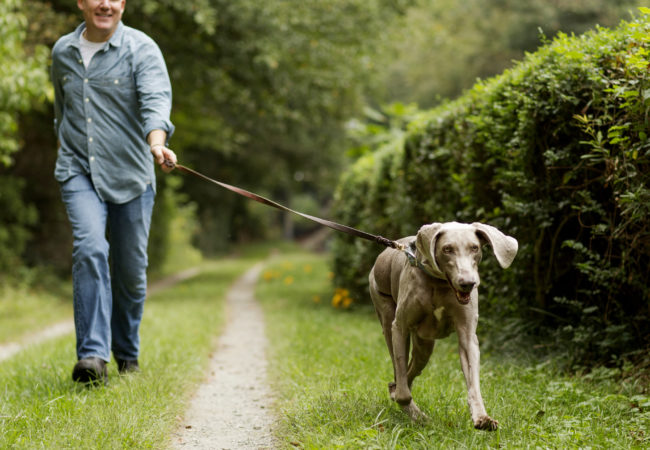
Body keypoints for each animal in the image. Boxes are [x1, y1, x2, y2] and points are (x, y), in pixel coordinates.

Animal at [370, 223, 516, 430]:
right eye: (447, 249)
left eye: (475, 248)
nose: (468, 283)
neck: (439, 284)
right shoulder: (400, 327)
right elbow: (403, 392)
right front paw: (420, 417)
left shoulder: (467, 335)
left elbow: (473, 383)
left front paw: (482, 418)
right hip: (385, 312)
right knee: (400, 374)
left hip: (424, 346)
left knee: (409, 373)